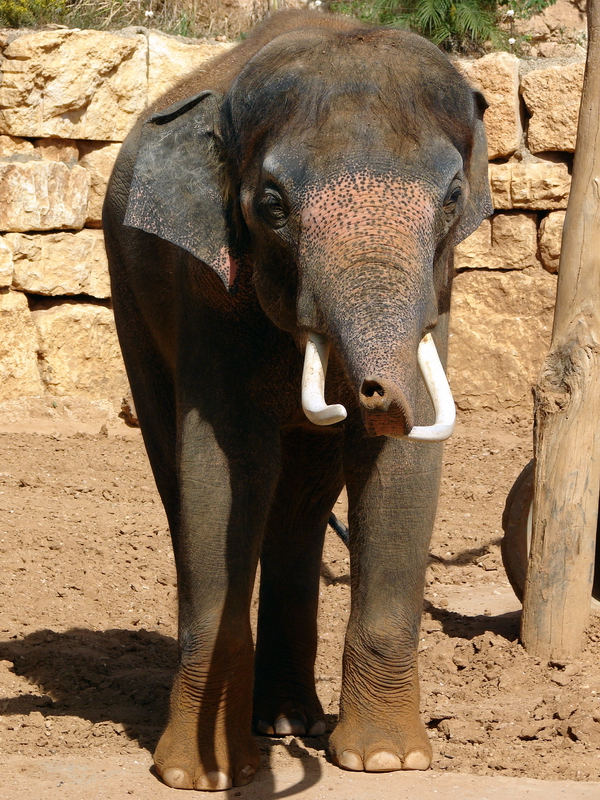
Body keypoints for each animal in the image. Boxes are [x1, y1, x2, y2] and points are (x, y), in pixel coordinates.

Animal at [103, 9, 491, 791]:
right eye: (272, 206)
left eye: (453, 199)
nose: (362, 393)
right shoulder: (206, 286)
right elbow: (226, 465)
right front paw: (205, 778)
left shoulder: (438, 292)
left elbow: (402, 463)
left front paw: (386, 760)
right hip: (128, 291)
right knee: (180, 472)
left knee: (302, 501)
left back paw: (291, 723)